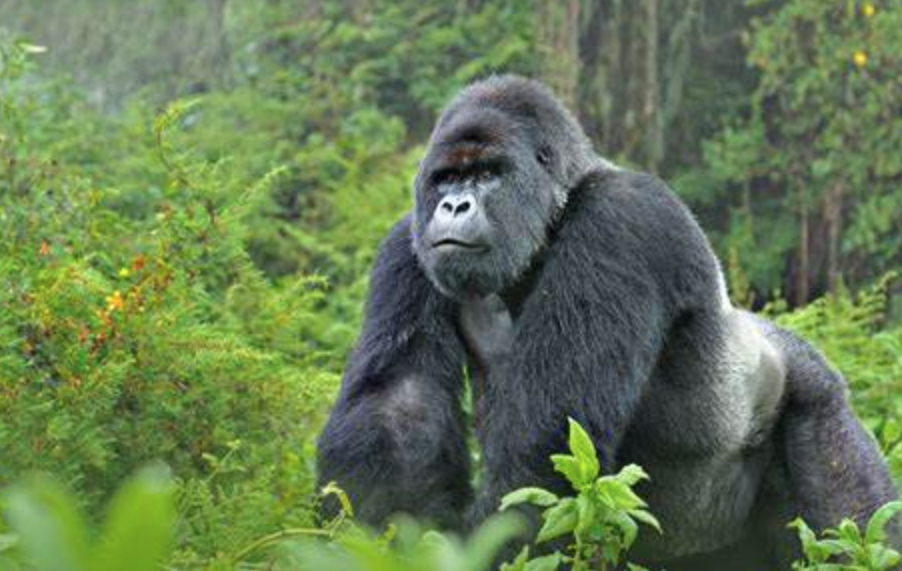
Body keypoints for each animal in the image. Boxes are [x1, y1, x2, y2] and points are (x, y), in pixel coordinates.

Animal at [316, 77, 896, 571]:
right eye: (448, 178)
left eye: (487, 174)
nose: (454, 206)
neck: (555, 213)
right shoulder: (407, 244)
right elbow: (398, 407)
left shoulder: (620, 222)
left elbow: (546, 443)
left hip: (818, 402)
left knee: (853, 523)